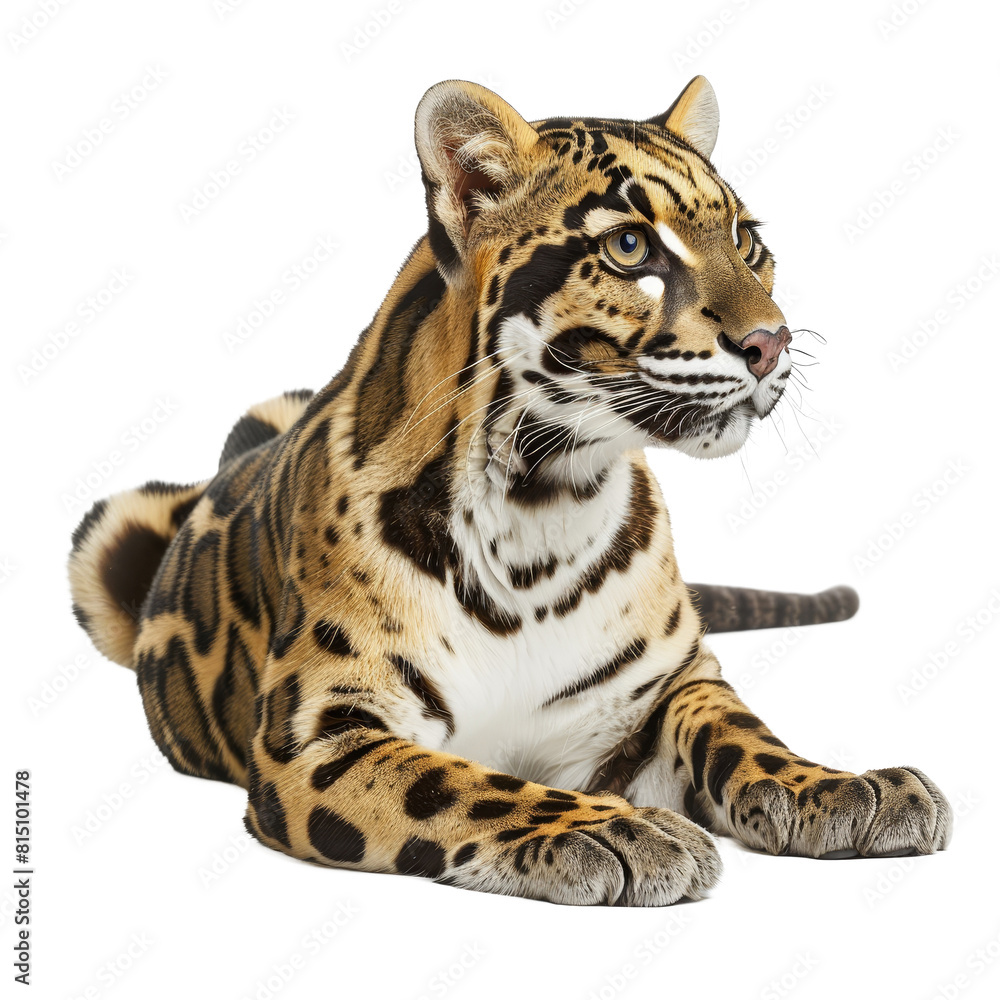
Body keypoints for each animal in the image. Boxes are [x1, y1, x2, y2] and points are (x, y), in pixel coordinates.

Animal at [68, 76, 951, 906]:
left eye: (746, 240)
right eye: (631, 246)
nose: (772, 343)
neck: (545, 503)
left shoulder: (670, 684)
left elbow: (739, 728)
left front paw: (842, 786)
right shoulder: (317, 734)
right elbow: (459, 783)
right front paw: (617, 831)